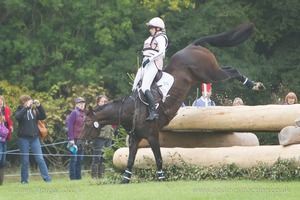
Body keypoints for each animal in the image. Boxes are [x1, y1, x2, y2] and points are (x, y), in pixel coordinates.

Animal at [78, 22, 264, 184]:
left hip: (209, 74)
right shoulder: (135, 139)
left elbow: (158, 158)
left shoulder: (152, 136)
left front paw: (161, 178)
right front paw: (125, 180)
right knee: (229, 69)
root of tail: (192, 46)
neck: (132, 110)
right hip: (208, 74)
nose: (79, 143)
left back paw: (255, 85)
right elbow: (130, 160)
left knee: (233, 71)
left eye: (86, 124)